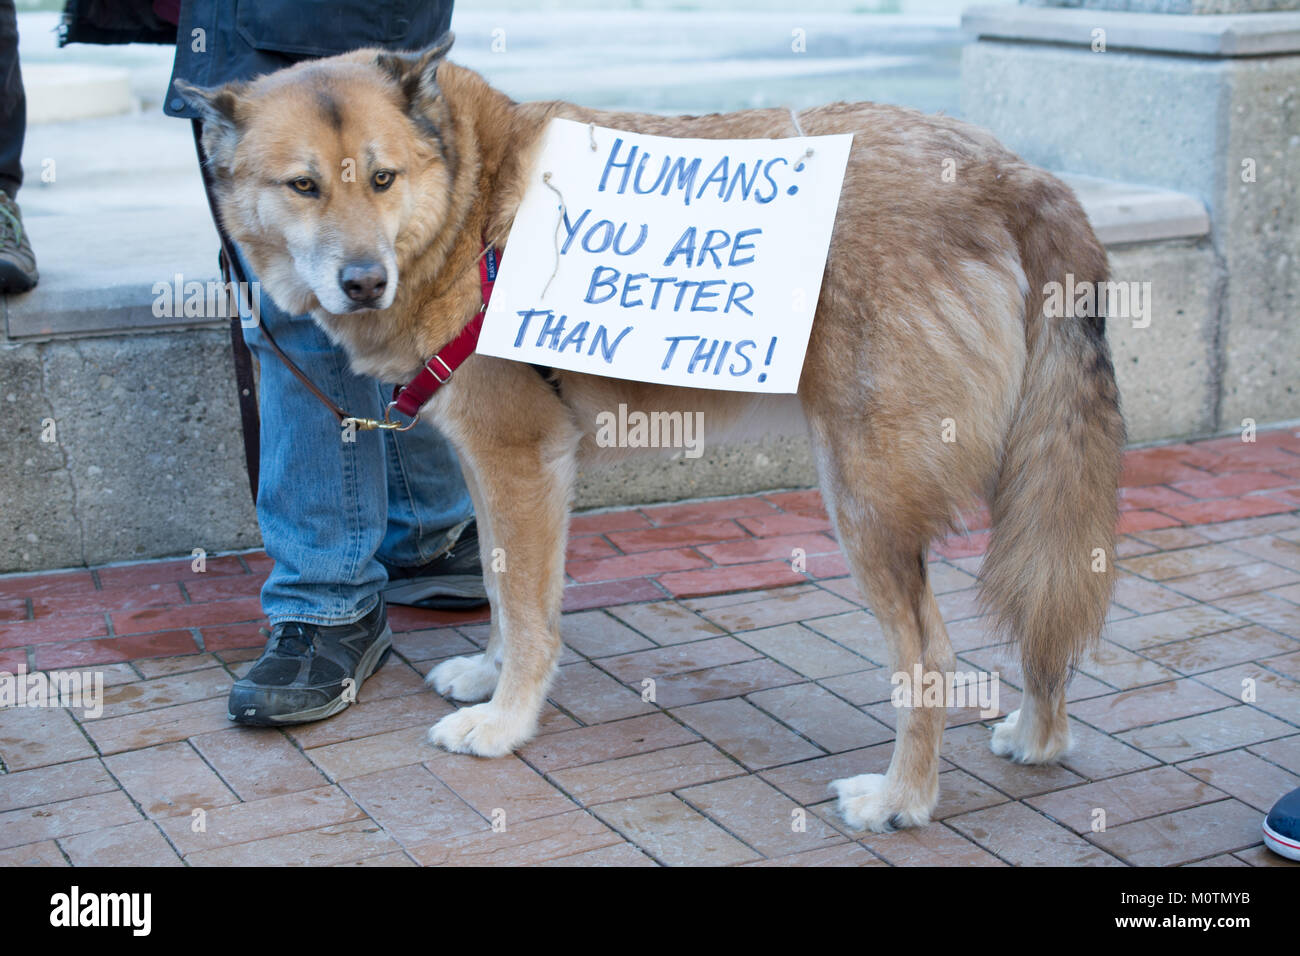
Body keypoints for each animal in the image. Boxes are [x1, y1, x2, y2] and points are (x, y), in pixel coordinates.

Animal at [183, 35, 1128, 832]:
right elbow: (498, 590)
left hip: (865, 498)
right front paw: (488, 678)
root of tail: (1013, 172)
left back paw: (903, 799)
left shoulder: (520, 465)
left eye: (380, 179)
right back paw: (1039, 737)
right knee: (1043, 605)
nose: (363, 282)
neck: (471, 204)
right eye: (304, 186)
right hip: (1021, 482)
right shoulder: (497, 474)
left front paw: (505, 722)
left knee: (929, 654)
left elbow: (526, 612)